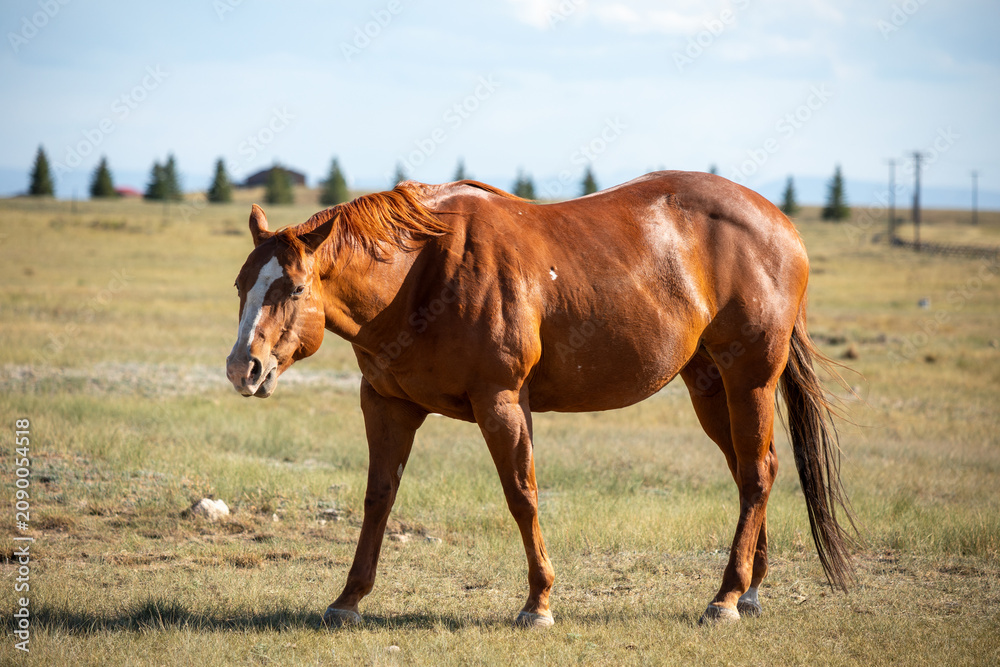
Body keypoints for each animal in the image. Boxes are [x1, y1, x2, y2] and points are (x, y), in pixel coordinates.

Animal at [225, 171, 855, 627]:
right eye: (241, 285)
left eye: (295, 288)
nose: (242, 368)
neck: (422, 275)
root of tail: (780, 223)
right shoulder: (386, 404)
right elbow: (378, 499)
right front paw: (348, 599)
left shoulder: (502, 402)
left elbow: (522, 496)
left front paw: (539, 603)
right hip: (709, 386)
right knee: (754, 470)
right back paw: (748, 590)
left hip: (750, 380)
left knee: (756, 474)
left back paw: (725, 598)